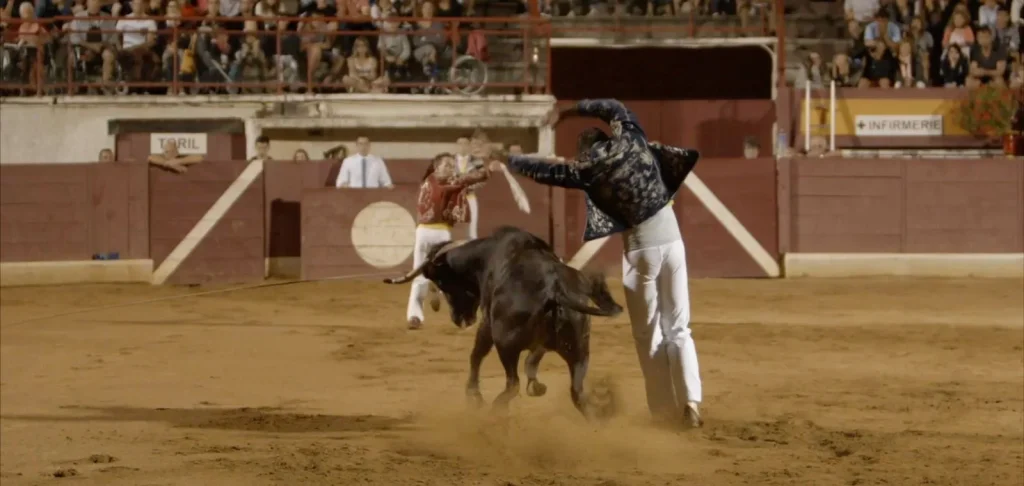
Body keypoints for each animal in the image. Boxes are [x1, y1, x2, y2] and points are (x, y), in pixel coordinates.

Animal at [385, 227, 622, 415]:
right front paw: (535, 385)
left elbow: (476, 355)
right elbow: (534, 357)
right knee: (576, 392)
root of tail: (553, 290)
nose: (461, 319)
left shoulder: (487, 323)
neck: (484, 258)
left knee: (512, 383)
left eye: (442, 282)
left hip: (505, 344)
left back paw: (495, 410)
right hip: (580, 349)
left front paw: (474, 396)